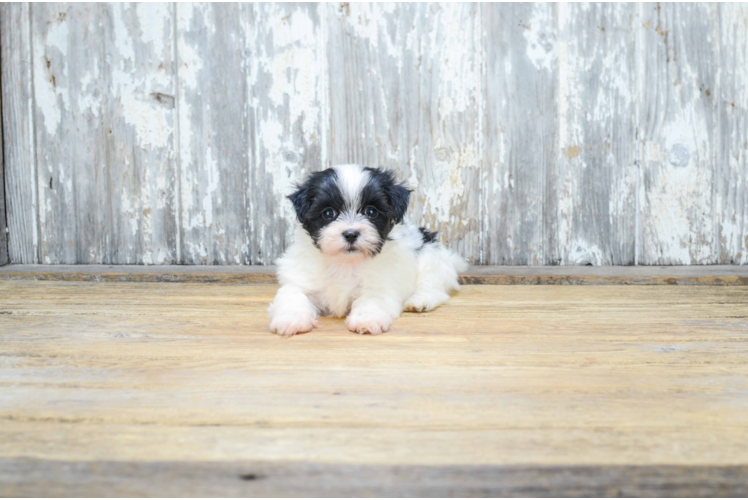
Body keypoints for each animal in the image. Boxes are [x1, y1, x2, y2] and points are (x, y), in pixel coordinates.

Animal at [268, 164, 468, 336]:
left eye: (371, 212)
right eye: (328, 213)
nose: (350, 234)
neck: (345, 263)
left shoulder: (381, 284)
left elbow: (373, 299)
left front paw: (366, 319)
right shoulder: (299, 279)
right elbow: (293, 295)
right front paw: (291, 320)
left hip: (429, 256)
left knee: (434, 287)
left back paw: (419, 301)